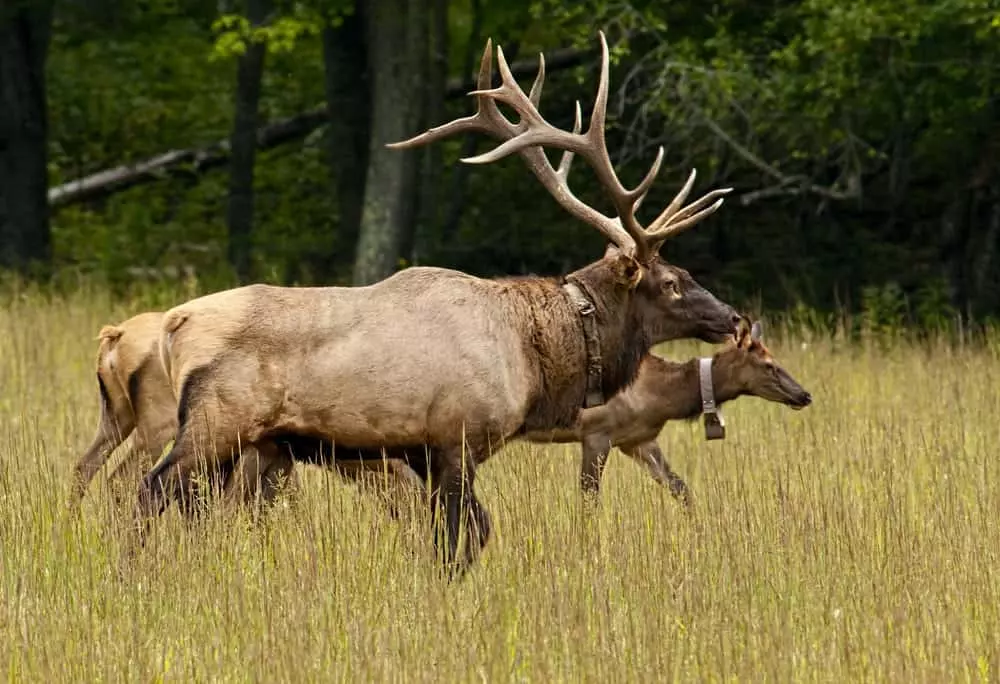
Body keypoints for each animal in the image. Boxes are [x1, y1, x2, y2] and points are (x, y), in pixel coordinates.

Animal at [135, 32, 744, 576]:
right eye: (673, 280)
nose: (733, 318)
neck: (535, 356)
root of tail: (175, 324)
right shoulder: (457, 438)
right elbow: (462, 536)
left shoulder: (425, 454)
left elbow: (459, 534)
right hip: (217, 422)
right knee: (148, 493)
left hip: (247, 443)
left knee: (192, 508)